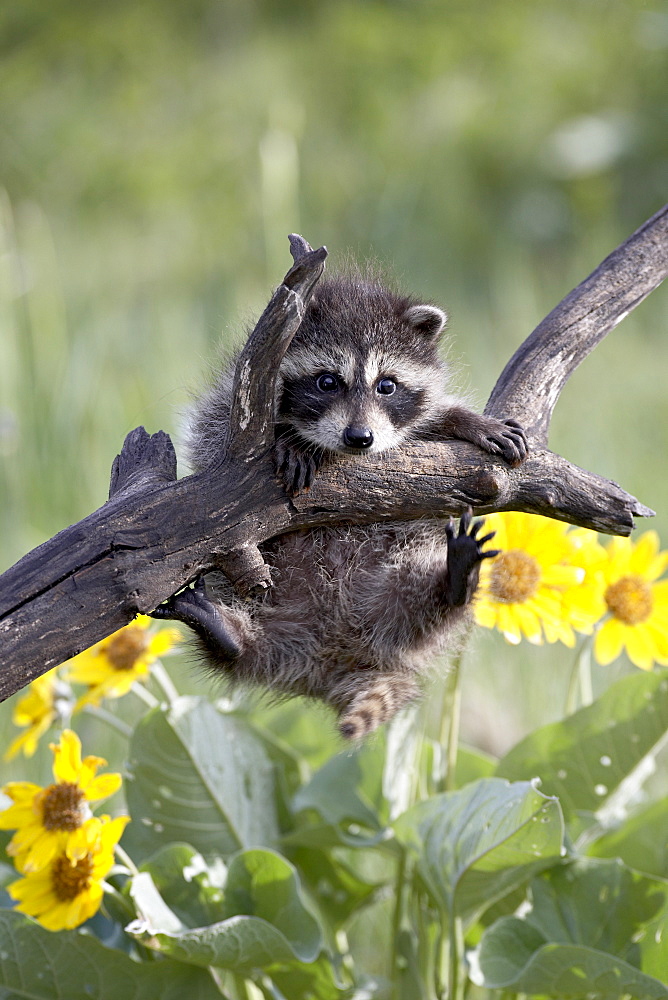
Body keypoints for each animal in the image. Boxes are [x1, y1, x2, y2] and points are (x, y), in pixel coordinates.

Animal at [153, 270, 528, 740]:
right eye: (327, 381)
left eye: (387, 385)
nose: (360, 437)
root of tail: (333, 660)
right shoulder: (230, 411)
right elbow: (215, 435)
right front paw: (291, 440)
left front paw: (467, 420)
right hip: (263, 607)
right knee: (240, 646)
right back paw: (226, 635)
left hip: (394, 597)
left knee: (428, 605)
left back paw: (456, 579)